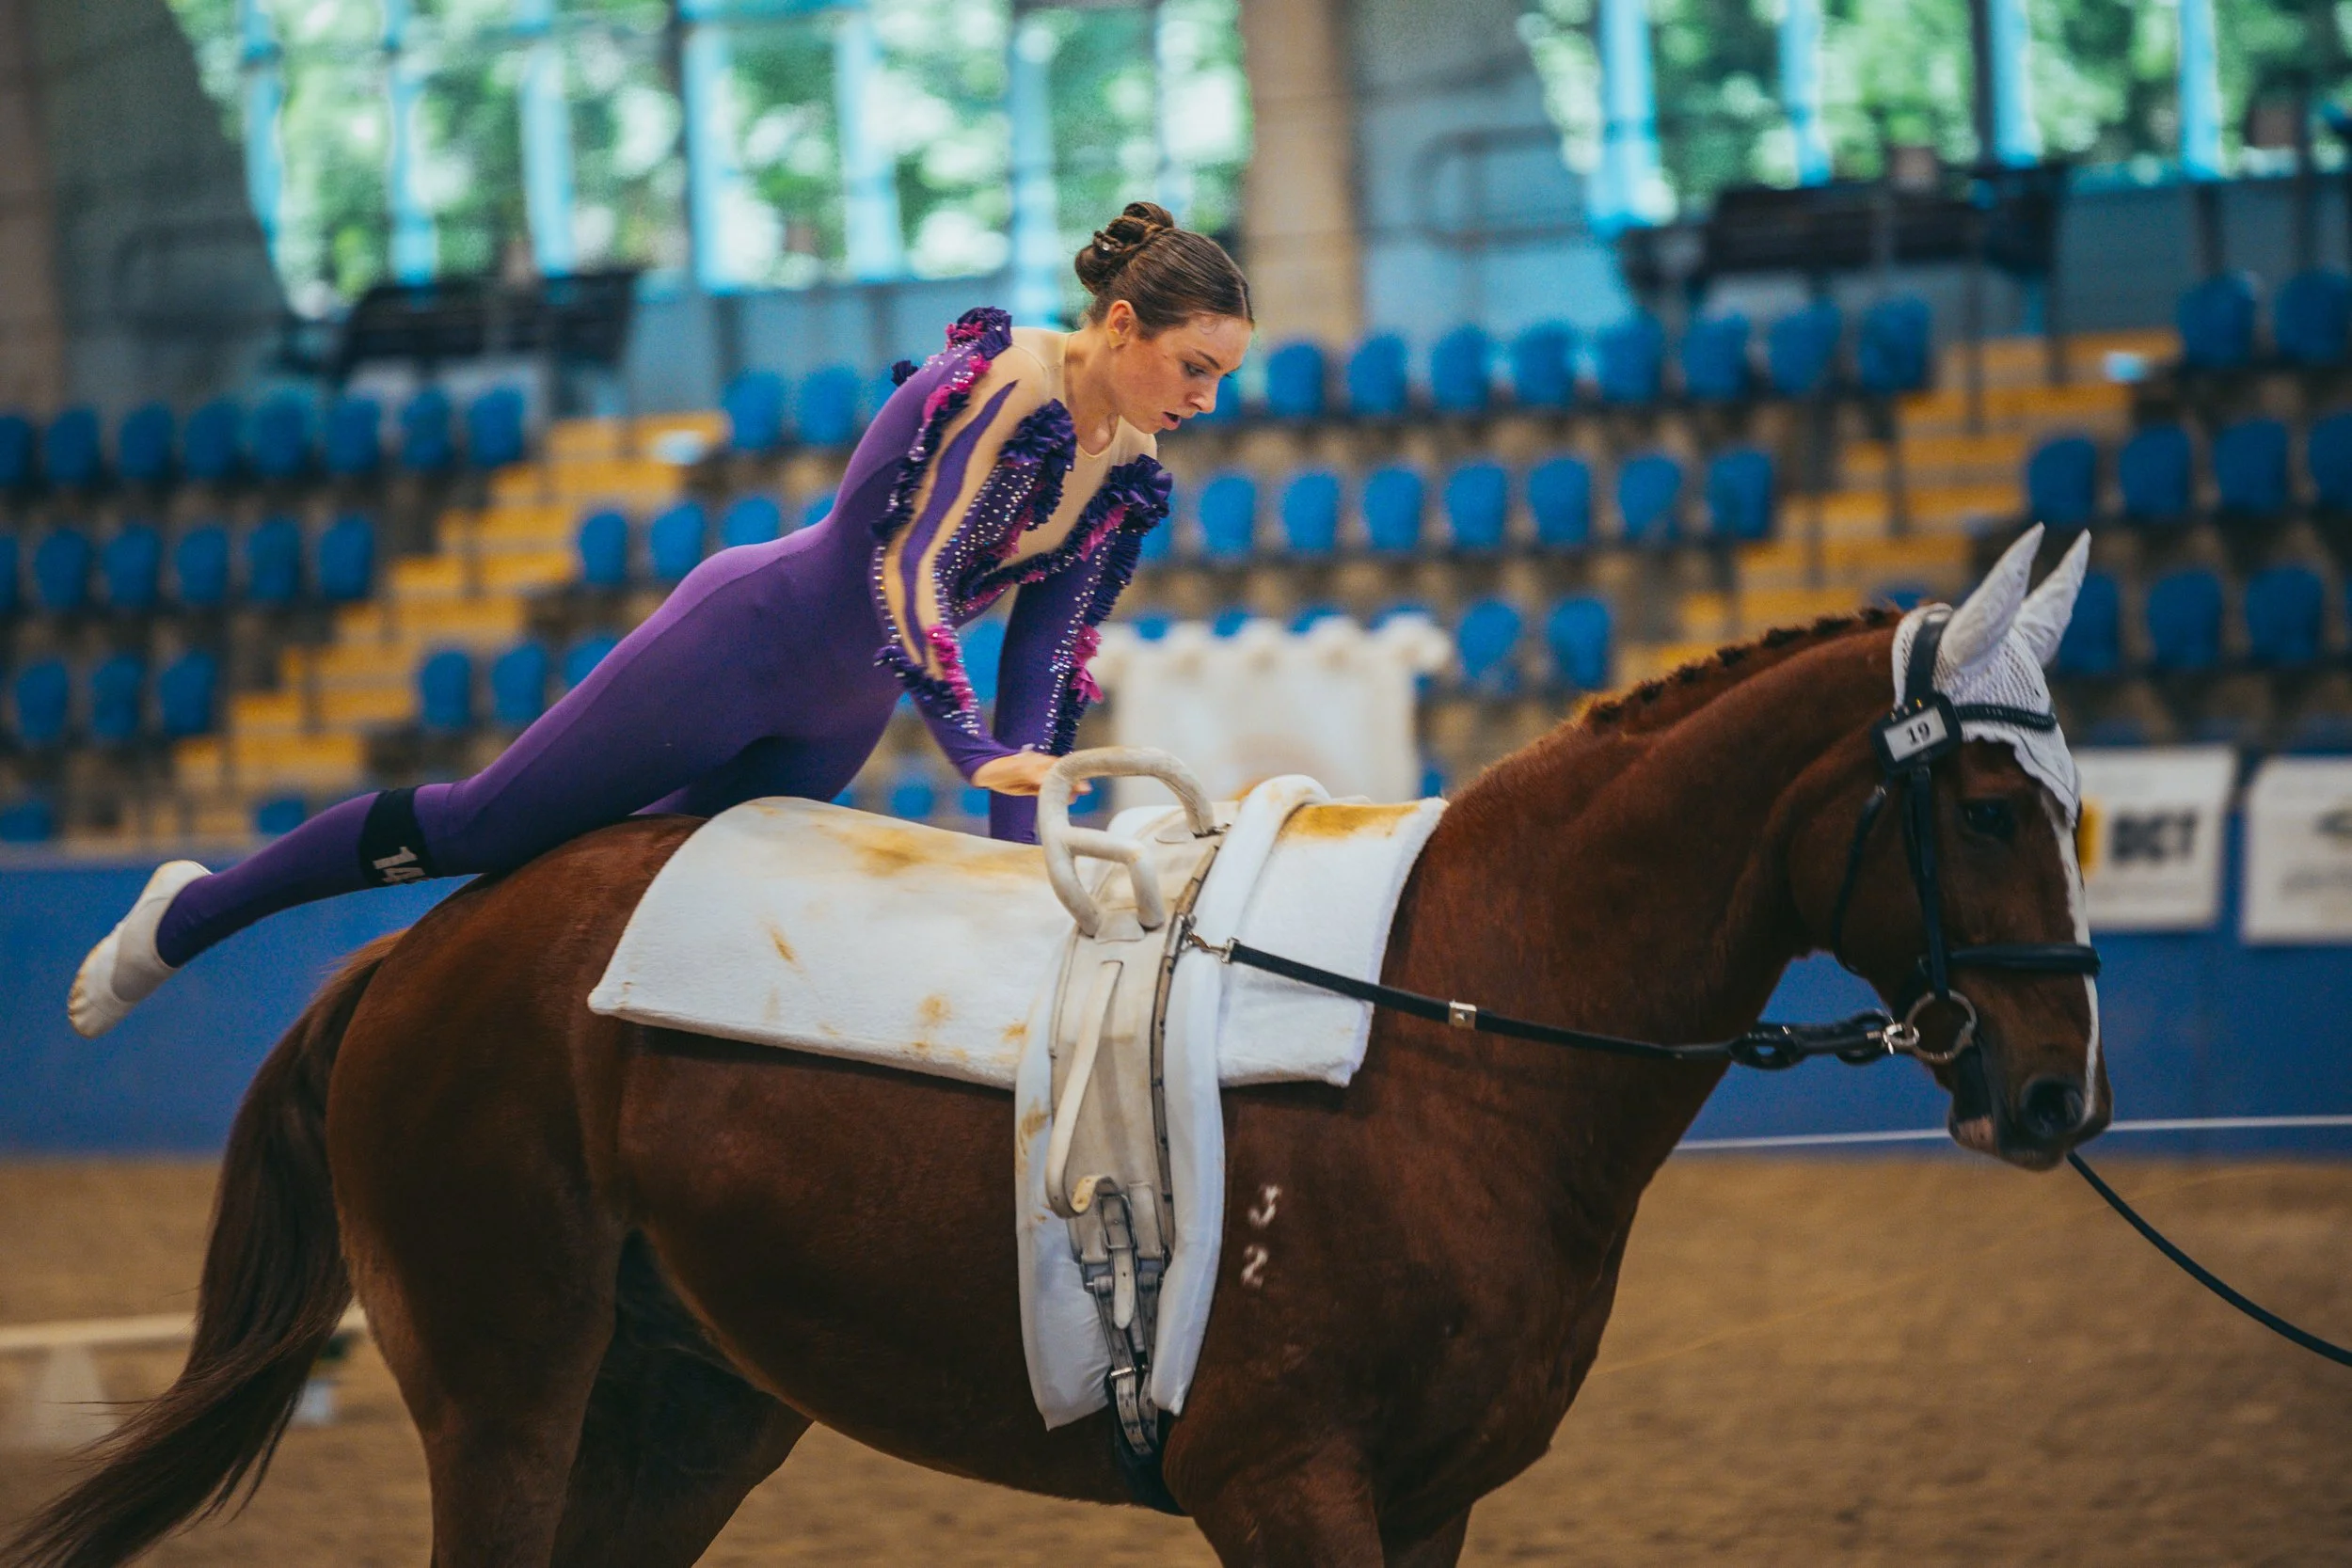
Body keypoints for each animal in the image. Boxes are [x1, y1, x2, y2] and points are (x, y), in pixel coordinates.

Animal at [10, 541, 2106, 1568]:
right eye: (1993, 803)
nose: (2053, 1094)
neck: (1451, 1025)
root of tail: (418, 957)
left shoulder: (1430, 1498)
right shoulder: (1285, 1480)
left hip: (689, 1404)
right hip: (504, 1387)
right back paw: (140, 936)